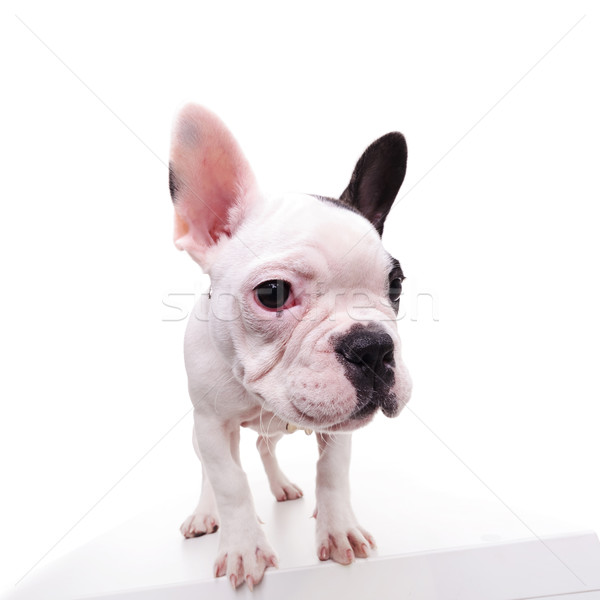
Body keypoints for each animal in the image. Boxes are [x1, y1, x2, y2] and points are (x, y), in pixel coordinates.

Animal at [169, 104, 412, 592]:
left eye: (395, 285)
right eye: (273, 293)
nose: (372, 346)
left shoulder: (341, 426)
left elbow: (332, 471)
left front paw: (339, 531)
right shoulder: (210, 424)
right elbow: (229, 481)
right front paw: (244, 548)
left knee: (266, 448)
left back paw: (282, 487)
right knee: (212, 470)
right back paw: (206, 513)